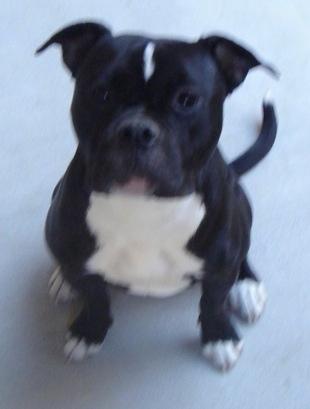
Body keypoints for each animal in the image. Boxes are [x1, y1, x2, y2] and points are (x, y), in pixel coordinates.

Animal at [35, 23, 276, 372]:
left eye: (187, 100)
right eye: (101, 94)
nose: (136, 131)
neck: (145, 207)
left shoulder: (219, 269)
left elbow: (212, 302)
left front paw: (219, 338)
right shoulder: (78, 258)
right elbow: (95, 296)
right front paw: (88, 330)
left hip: (241, 206)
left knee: (242, 251)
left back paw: (245, 287)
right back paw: (64, 279)